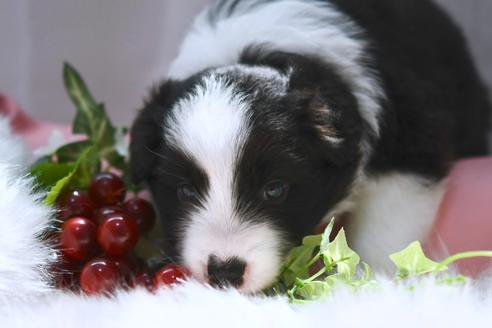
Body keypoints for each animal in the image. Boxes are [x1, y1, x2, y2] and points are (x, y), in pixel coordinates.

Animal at [129, 0, 490, 292]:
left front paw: (371, 283)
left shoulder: (410, 147)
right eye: (185, 192)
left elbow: (385, 232)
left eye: (275, 190)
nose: (225, 273)